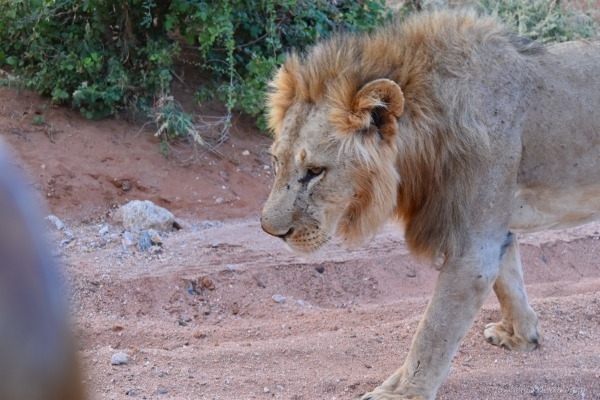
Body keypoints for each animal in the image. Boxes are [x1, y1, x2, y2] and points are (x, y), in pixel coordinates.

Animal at [262, 9, 600, 400]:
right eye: (276, 162)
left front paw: (401, 393)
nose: (269, 230)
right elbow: (509, 281)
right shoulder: (494, 228)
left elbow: (434, 329)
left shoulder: (473, 248)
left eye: (315, 171)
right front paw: (521, 337)